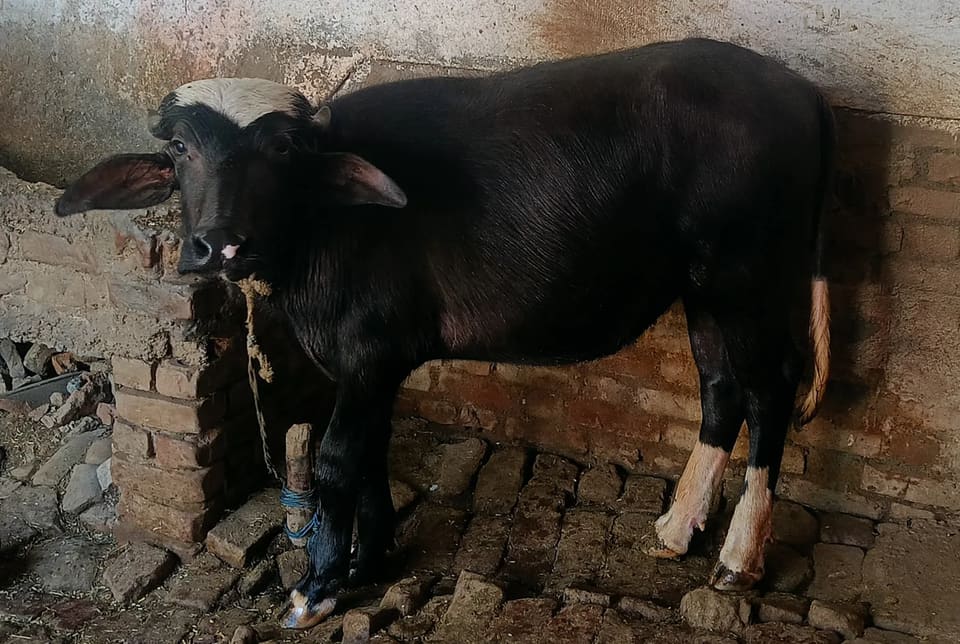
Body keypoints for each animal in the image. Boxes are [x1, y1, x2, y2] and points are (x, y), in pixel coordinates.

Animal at [55, 37, 833, 629]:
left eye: (279, 150)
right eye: (181, 149)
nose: (219, 244)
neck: (325, 227)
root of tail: (796, 90)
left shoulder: (370, 354)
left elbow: (336, 460)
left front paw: (319, 584)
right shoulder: (368, 367)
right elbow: (370, 454)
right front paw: (371, 558)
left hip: (749, 275)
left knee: (771, 389)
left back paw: (739, 557)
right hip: (701, 286)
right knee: (720, 385)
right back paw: (677, 529)